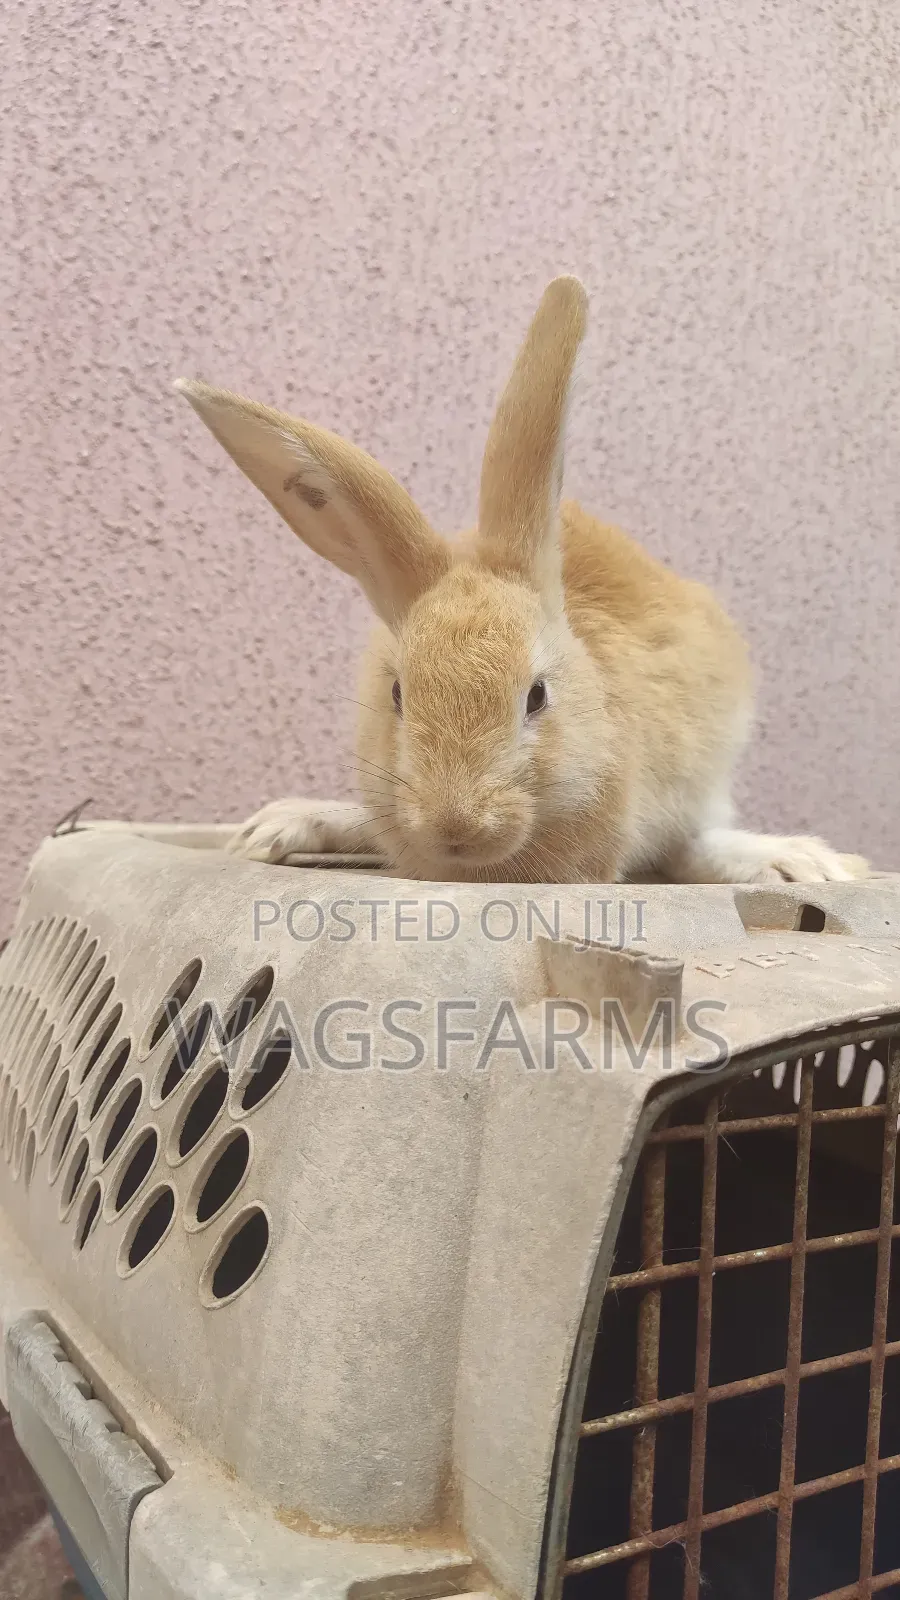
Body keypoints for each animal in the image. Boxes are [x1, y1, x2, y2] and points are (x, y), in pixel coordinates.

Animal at [175, 276, 868, 886]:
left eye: (536, 696)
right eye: (398, 695)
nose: (456, 828)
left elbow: (687, 846)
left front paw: (807, 863)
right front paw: (275, 827)